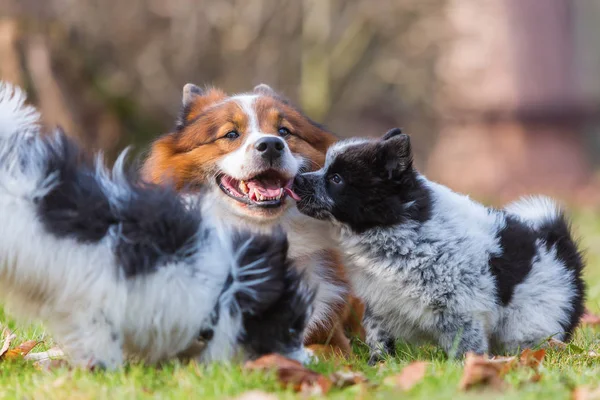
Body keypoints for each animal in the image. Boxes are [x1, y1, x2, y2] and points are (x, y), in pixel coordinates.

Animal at [292, 127, 584, 362]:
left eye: (336, 179)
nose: (297, 179)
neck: (398, 231)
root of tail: (560, 252)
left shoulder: (461, 310)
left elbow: (465, 344)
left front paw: (464, 368)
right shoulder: (380, 303)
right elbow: (378, 337)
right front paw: (380, 364)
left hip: (530, 324)